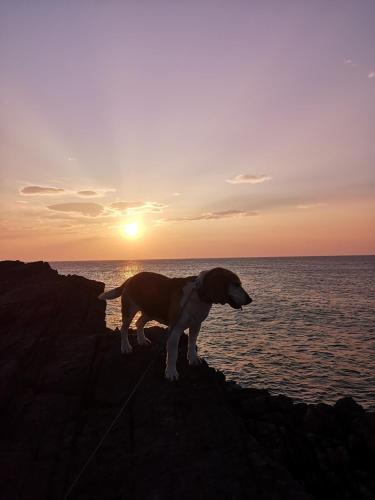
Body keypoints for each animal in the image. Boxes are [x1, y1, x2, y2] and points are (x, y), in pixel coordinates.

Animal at [99, 268, 253, 380]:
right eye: (236, 284)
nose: (250, 299)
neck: (198, 294)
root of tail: (131, 278)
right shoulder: (175, 329)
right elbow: (172, 354)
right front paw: (171, 372)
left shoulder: (196, 325)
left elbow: (191, 343)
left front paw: (193, 359)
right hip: (129, 310)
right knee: (124, 329)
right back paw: (125, 347)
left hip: (150, 311)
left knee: (139, 323)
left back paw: (142, 340)